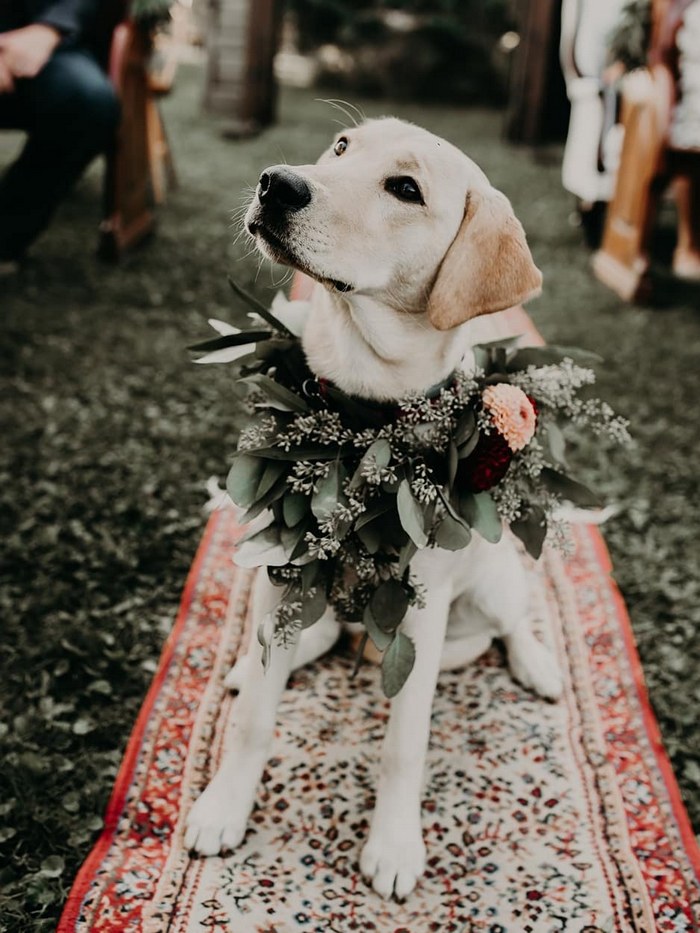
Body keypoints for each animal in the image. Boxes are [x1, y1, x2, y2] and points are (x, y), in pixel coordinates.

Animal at [186, 116, 564, 896]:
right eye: (340, 148)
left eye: (406, 189)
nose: (276, 182)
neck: (364, 421)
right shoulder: (286, 566)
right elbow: (253, 722)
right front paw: (224, 806)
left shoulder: (419, 609)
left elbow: (402, 747)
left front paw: (393, 845)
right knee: (309, 637)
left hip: (494, 580)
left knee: (515, 623)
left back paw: (538, 665)